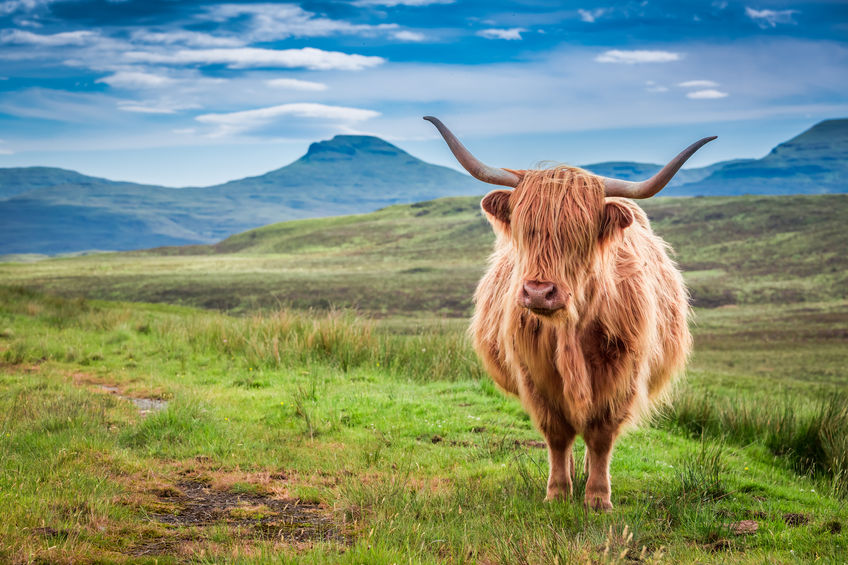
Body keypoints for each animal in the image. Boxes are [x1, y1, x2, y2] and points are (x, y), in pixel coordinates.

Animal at [424, 117, 716, 508]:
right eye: (525, 230)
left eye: (579, 234)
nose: (539, 292)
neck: (570, 330)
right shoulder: (534, 376)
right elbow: (558, 435)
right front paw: (559, 492)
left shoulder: (621, 376)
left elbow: (601, 436)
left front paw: (598, 498)